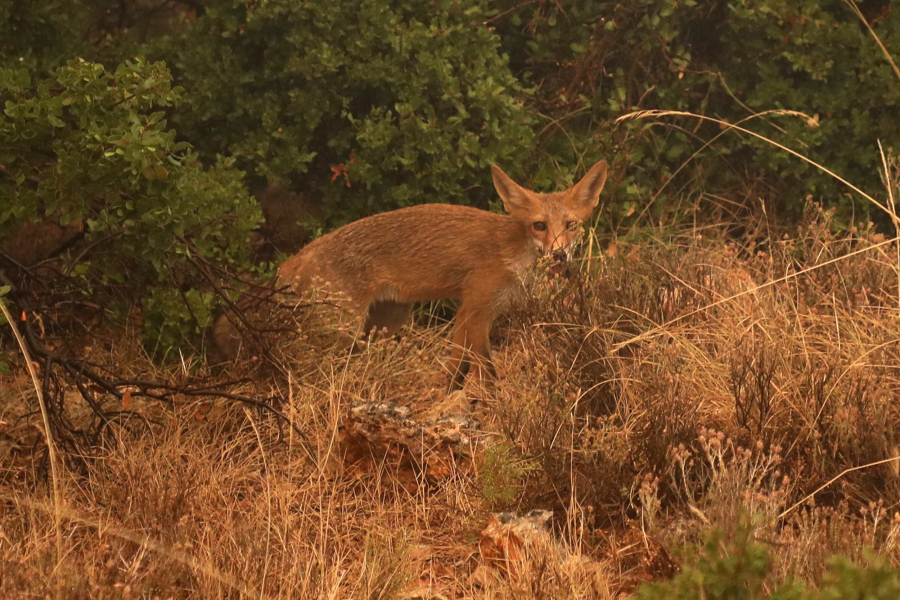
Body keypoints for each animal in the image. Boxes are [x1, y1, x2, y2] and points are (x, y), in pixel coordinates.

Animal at [214, 162, 608, 392]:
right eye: (539, 225)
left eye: (571, 225)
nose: (558, 254)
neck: (512, 253)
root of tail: (297, 257)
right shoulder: (473, 310)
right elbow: (480, 370)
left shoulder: (477, 315)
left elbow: (466, 367)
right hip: (340, 332)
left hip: (385, 323)